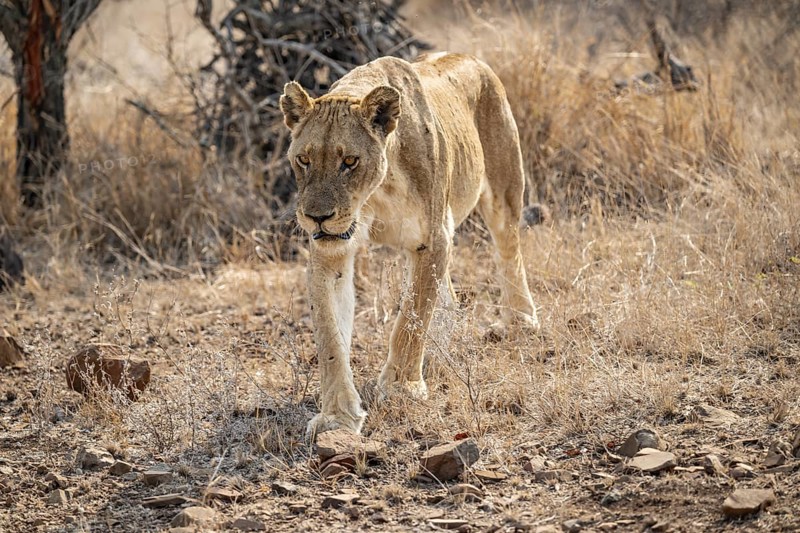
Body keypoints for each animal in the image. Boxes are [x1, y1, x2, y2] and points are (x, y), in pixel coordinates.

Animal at [280, 52, 539, 438]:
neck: (376, 192)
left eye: (349, 161)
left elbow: (411, 318)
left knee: (509, 252)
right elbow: (330, 337)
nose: (317, 217)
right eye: (304, 159)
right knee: (447, 297)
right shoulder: (331, 253)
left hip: (504, 188)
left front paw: (402, 387)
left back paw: (521, 319)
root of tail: (472, 57)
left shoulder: (432, 239)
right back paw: (437, 353)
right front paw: (337, 417)